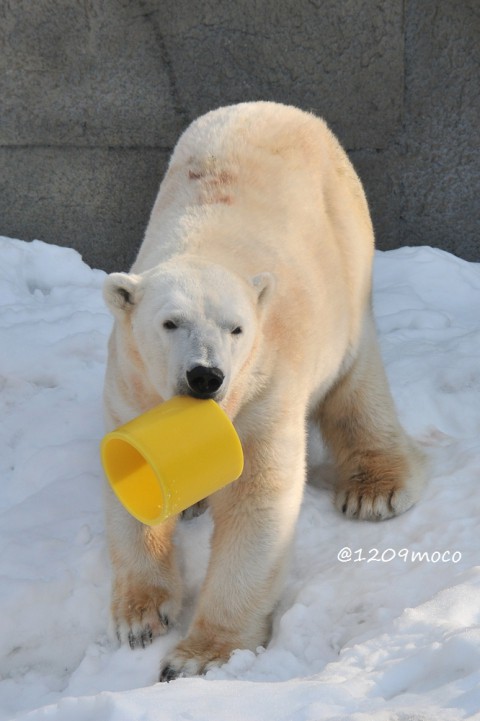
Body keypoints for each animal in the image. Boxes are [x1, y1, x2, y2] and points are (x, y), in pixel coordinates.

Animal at [103, 101, 426, 680]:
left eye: (237, 329)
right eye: (170, 323)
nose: (205, 376)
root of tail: (281, 109)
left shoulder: (265, 389)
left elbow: (257, 500)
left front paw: (197, 657)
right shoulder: (128, 387)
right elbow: (132, 491)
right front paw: (139, 619)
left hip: (346, 258)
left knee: (356, 381)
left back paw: (375, 490)